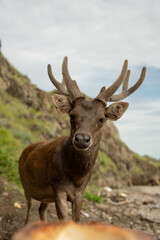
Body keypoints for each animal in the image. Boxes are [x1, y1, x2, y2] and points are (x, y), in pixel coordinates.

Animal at [18, 56, 146, 223]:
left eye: (101, 119)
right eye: (72, 115)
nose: (82, 139)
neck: (76, 177)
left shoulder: (80, 193)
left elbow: (76, 220)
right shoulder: (58, 187)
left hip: (45, 197)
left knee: (41, 209)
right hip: (25, 183)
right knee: (28, 208)